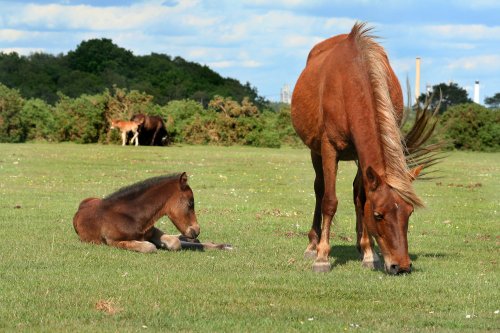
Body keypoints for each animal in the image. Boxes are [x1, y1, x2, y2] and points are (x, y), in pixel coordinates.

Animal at [73, 172, 229, 250]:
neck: (132, 216)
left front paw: (222, 245)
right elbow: (150, 247)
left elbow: (174, 243)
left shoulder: (153, 231)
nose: (196, 230)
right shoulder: (113, 241)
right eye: (191, 203)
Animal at [292, 22, 440, 274]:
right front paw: (322, 257)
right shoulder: (329, 148)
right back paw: (313, 244)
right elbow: (329, 201)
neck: (350, 82)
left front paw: (369, 254)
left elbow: (361, 199)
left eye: (409, 213)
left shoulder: (363, 156)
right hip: (315, 151)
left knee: (355, 192)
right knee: (319, 189)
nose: (401, 266)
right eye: (378, 215)